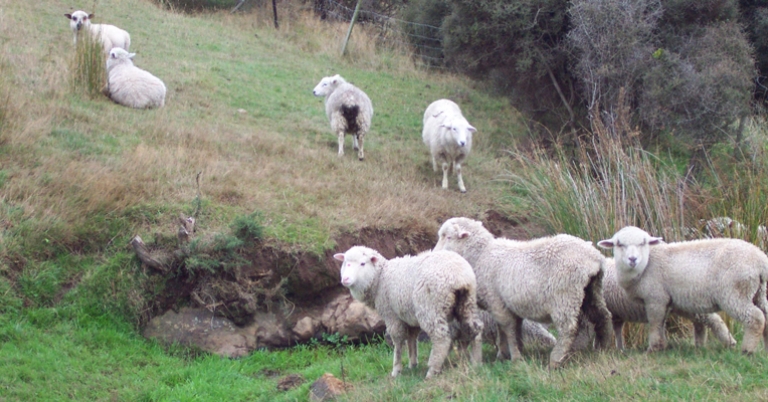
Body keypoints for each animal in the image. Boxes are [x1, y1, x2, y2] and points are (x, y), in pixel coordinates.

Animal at [334, 246, 483, 379]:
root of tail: (458, 276)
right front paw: (413, 364)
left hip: (430, 308)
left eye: (362, 263)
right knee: (476, 329)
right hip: (467, 302)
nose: (345, 279)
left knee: (441, 338)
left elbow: (398, 341)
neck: (381, 278)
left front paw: (396, 370)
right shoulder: (409, 316)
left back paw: (432, 371)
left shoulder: (391, 315)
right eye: (345, 262)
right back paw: (476, 362)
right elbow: (412, 339)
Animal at [433, 217, 613, 369]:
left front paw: (515, 357)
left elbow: (508, 329)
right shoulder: (502, 304)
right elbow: (505, 329)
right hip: (591, 290)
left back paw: (556, 360)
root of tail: (594, 258)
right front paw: (504, 354)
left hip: (565, 297)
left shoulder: (496, 301)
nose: (435, 253)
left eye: (447, 237)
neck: (481, 255)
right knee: (603, 315)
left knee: (568, 328)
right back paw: (603, 349)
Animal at [602, 257, 736, 350]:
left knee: (712, 319)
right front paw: (620, 349)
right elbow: (617, 330)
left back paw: (729, 341)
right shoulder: (616, 313)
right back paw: (700, 344)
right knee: (700, 323)